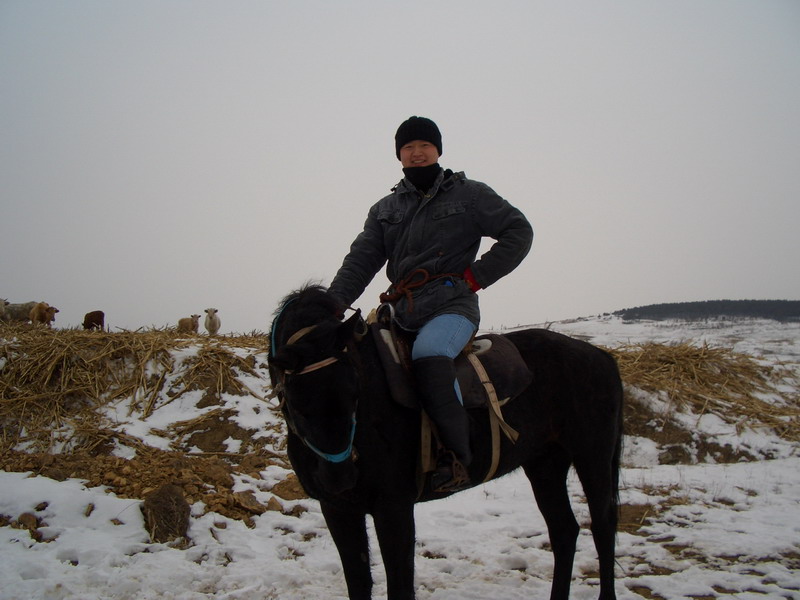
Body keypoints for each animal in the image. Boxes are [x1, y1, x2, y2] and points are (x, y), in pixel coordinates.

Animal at [268, 286, 624, 600]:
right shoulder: (338, 509)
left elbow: (400, 588)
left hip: (592, 457)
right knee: (564, 532)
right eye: (296, 403)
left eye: (355, 390)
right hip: (545, 465)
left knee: (603, 527)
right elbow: (358, 583)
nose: (340, 477)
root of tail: (601, 357)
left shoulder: (394, 507)